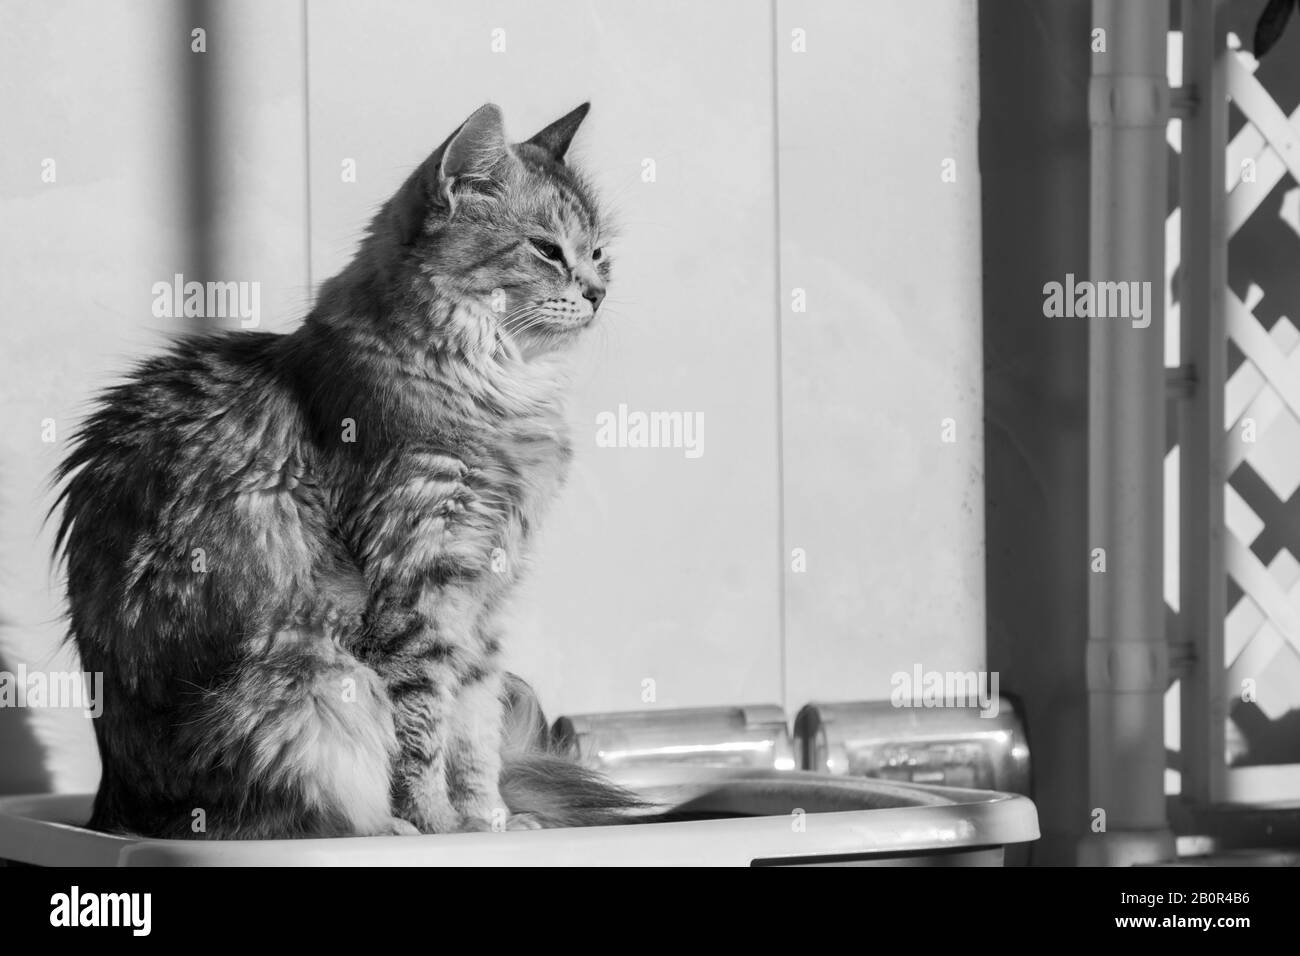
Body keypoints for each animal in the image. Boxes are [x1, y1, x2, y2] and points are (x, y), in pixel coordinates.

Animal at [53, 102, 642, 837]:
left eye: (598, 252)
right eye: (545, 249)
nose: (598, 291)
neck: (489, 385)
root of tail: (114, 811)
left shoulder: (480, 601)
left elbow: (474, 736)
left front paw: (492, 823)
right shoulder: (420, 588)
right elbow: (422, 734)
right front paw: (437, 828)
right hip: (306, 679)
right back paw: (383, 829)